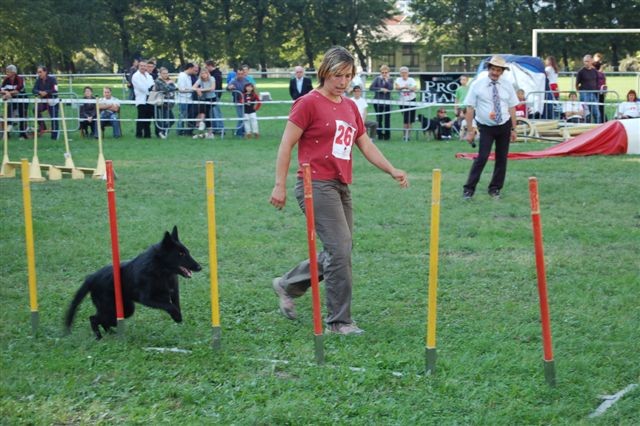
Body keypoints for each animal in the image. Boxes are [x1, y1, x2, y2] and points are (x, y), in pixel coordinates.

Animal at [64, 226, 200, 340]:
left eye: (187, 252)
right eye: (181, 254)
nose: (200, 267)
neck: (161, 269)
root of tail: (92, 277)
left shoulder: (173, 291)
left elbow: (175, 303)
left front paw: (177, 316)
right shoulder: (147, 298)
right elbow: (168, 305)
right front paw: (176, 315)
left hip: (124, 308)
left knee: (103, 320)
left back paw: (110, 333)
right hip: (115, 308)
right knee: (93, 318)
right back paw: (99, 337)